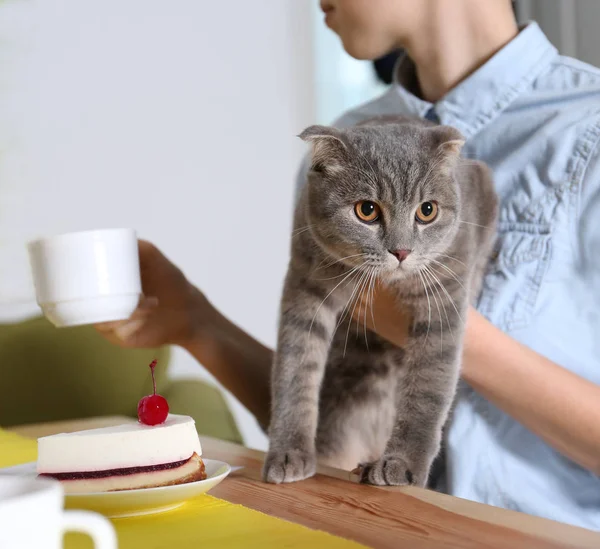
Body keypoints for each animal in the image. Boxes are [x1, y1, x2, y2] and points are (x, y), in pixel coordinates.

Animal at [262, 117, 496, 486]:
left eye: (427, 211)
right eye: (367, 210)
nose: (401, 251)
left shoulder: (443, 296)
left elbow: (430, 387)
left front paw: (403, 462)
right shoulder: (305, 284)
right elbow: (294, 370)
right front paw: (288, 452)